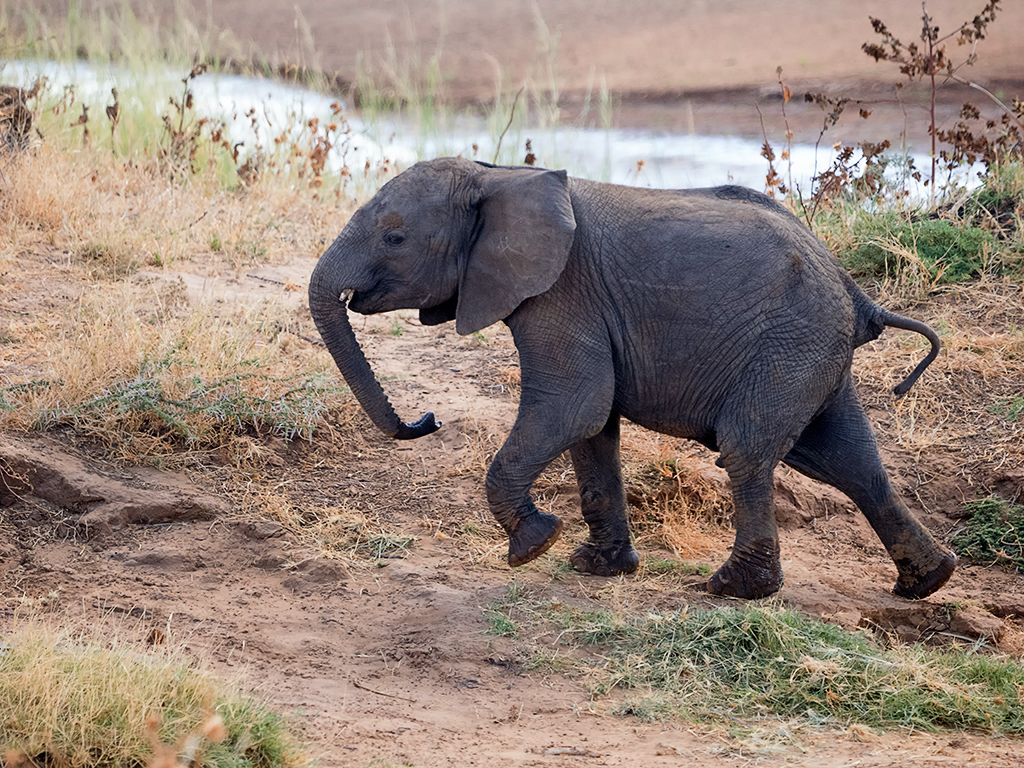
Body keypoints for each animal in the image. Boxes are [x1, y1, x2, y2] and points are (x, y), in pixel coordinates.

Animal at [308, 157, 957, 600]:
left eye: (395, 238)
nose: (426, 419)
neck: (499, 177)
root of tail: (855, 292)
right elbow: (593, 429)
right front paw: (595, 567)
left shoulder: (562, 294)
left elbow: (576, 406)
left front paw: (534, 544)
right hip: (813, 350)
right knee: (847, 459)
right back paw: (926, 582)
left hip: (790, 344)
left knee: (749, 449)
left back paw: (733, 588)